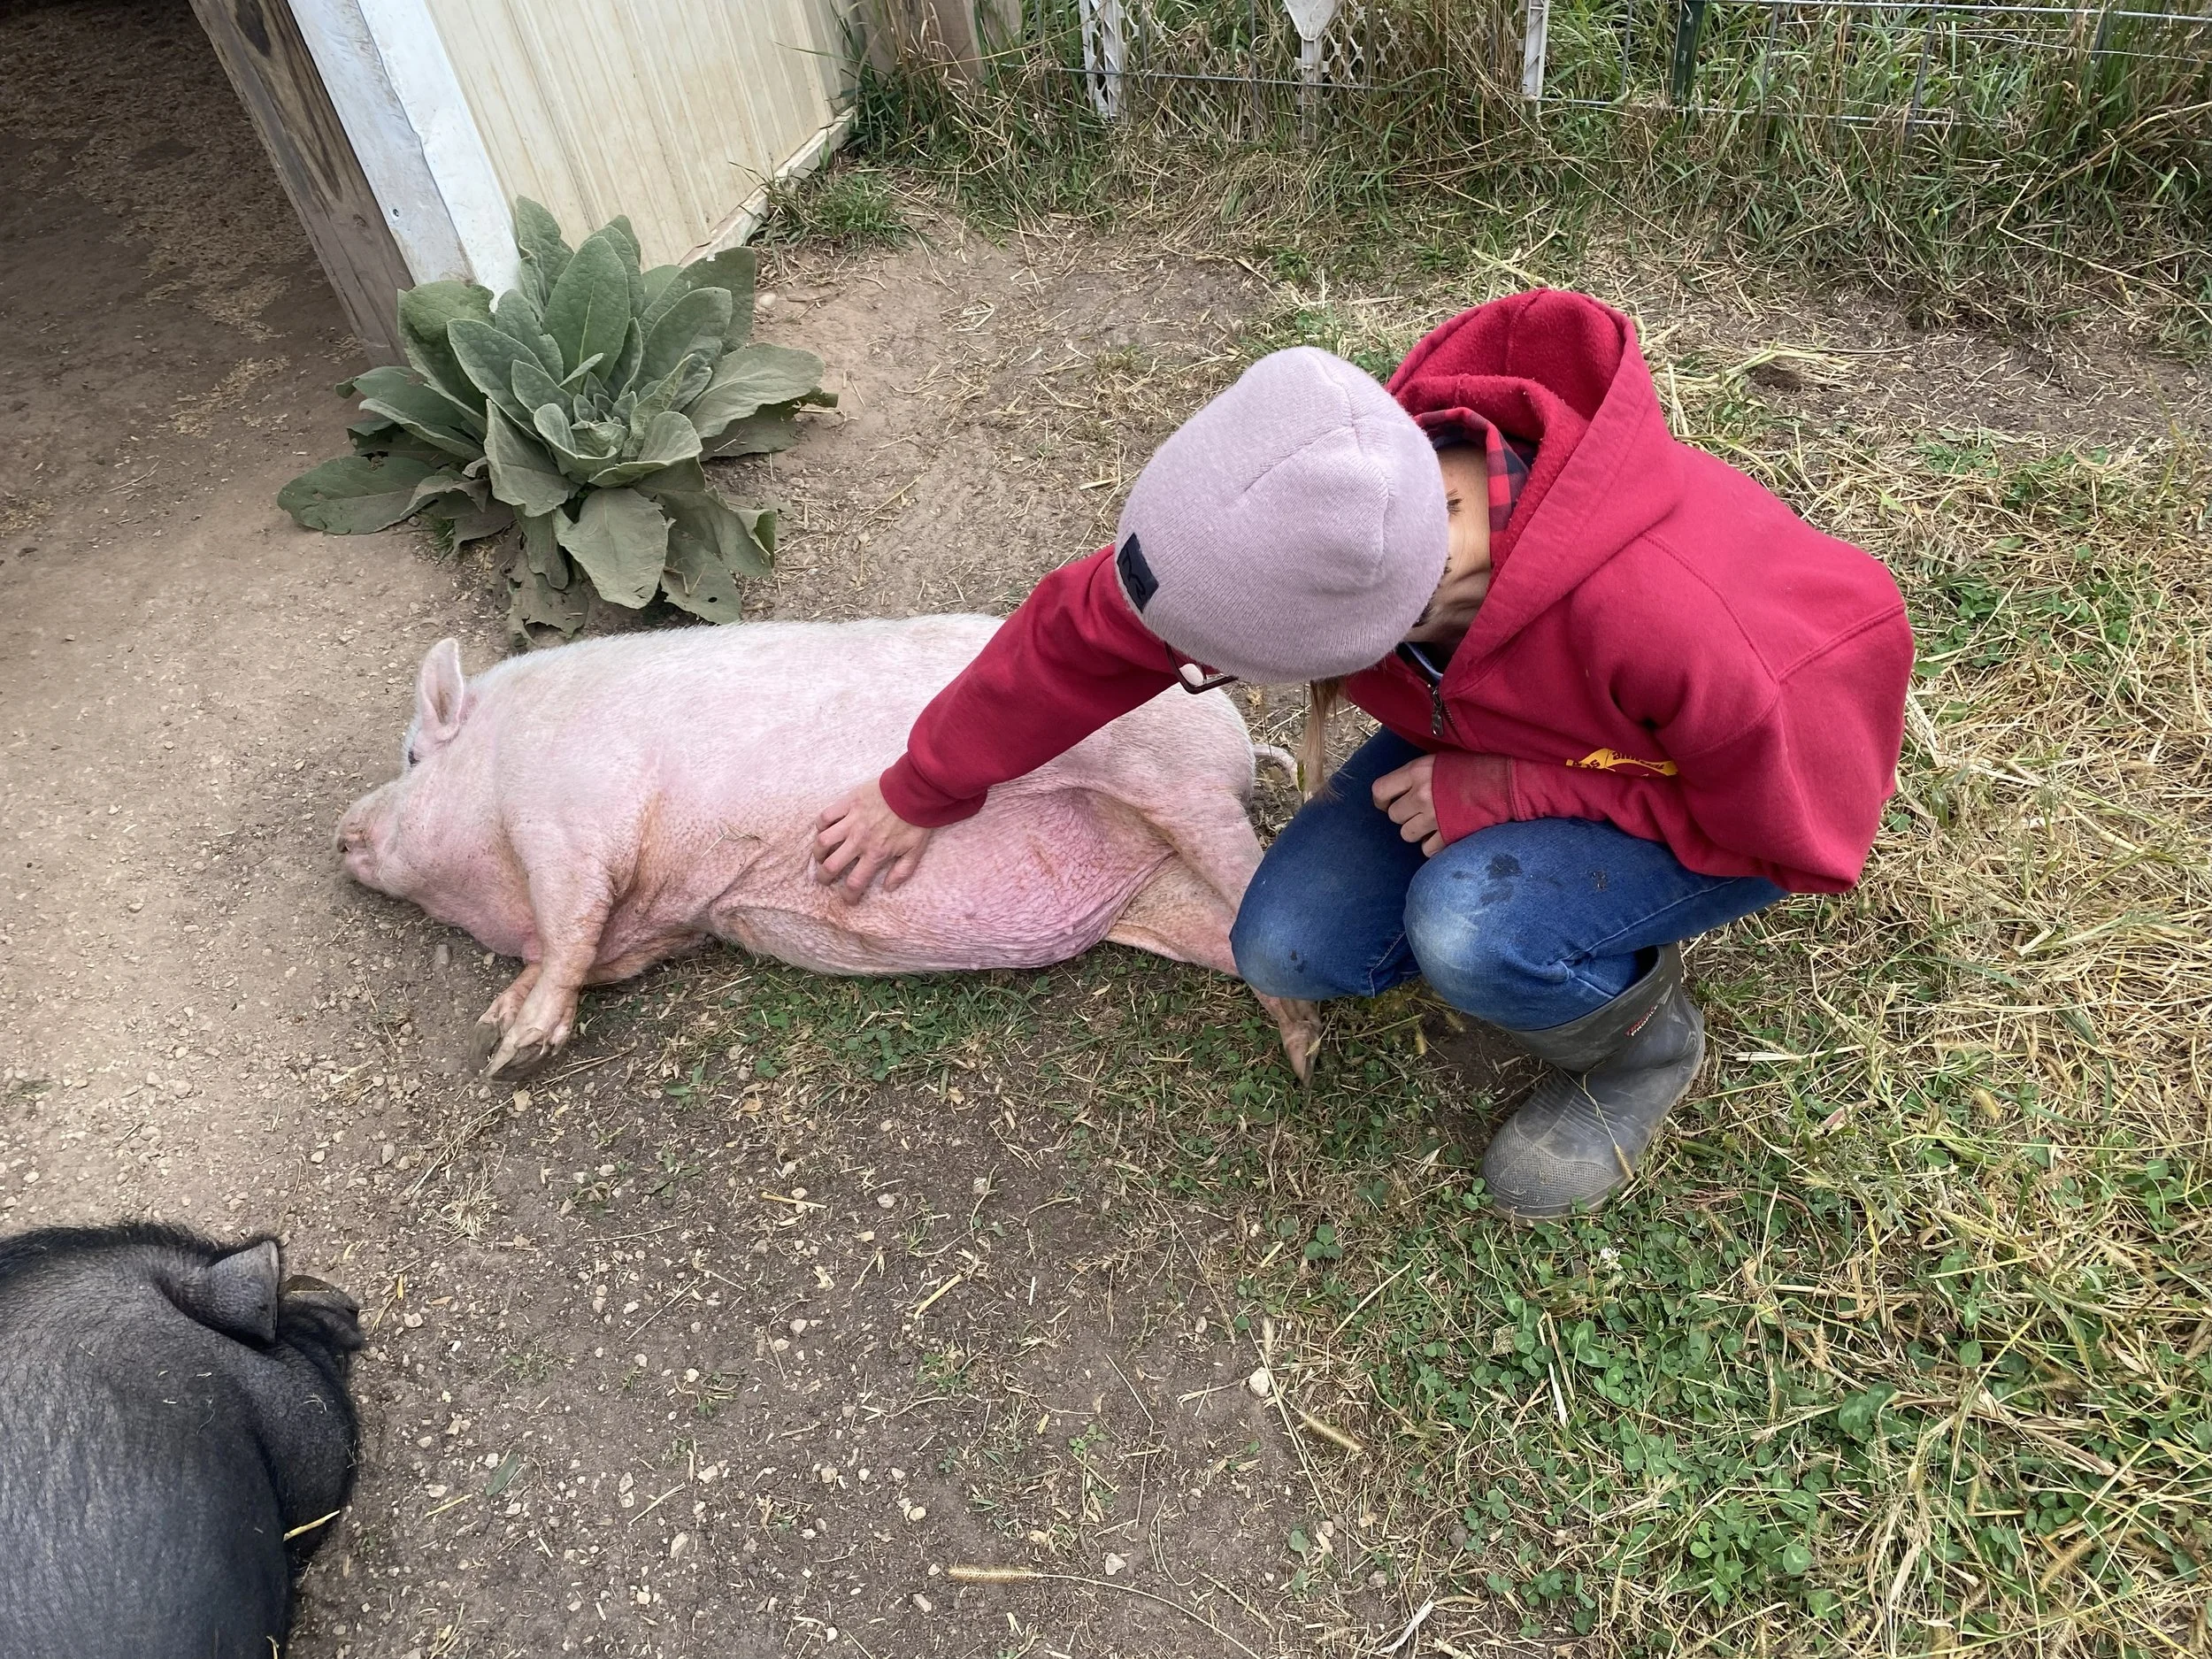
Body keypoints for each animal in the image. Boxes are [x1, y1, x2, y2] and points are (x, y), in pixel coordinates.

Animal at [337, 618, 1320, 1079]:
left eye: (413, 756)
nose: (340, 831)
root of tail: (1240, 745)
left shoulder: (574, 822)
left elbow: (570, 924)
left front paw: (513, 1054)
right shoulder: (651, 926)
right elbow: (581, 953)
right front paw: (497, 1018)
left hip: (1175, 781)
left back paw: (1305, 1041)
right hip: (1159, 891)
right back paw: (1302, 1042)